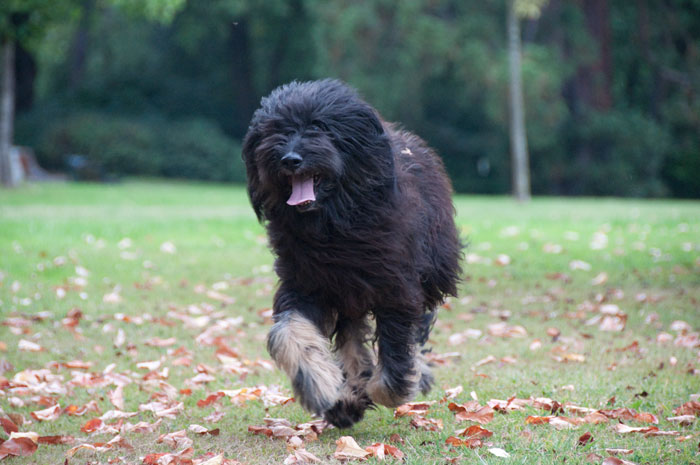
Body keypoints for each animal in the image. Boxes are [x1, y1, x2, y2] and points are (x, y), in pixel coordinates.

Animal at [243, 78, 462, 426]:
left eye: (318, 127)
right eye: (277, 129)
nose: (289, 159)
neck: (334, 227)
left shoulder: (396, 284)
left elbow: (398, 344)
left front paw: (390, 388)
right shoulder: (307, 281)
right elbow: (289, 332)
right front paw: (321, 386)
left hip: (428, 272)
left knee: (413, 331)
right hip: (348, 294)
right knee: (351, 339)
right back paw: (348, 398)